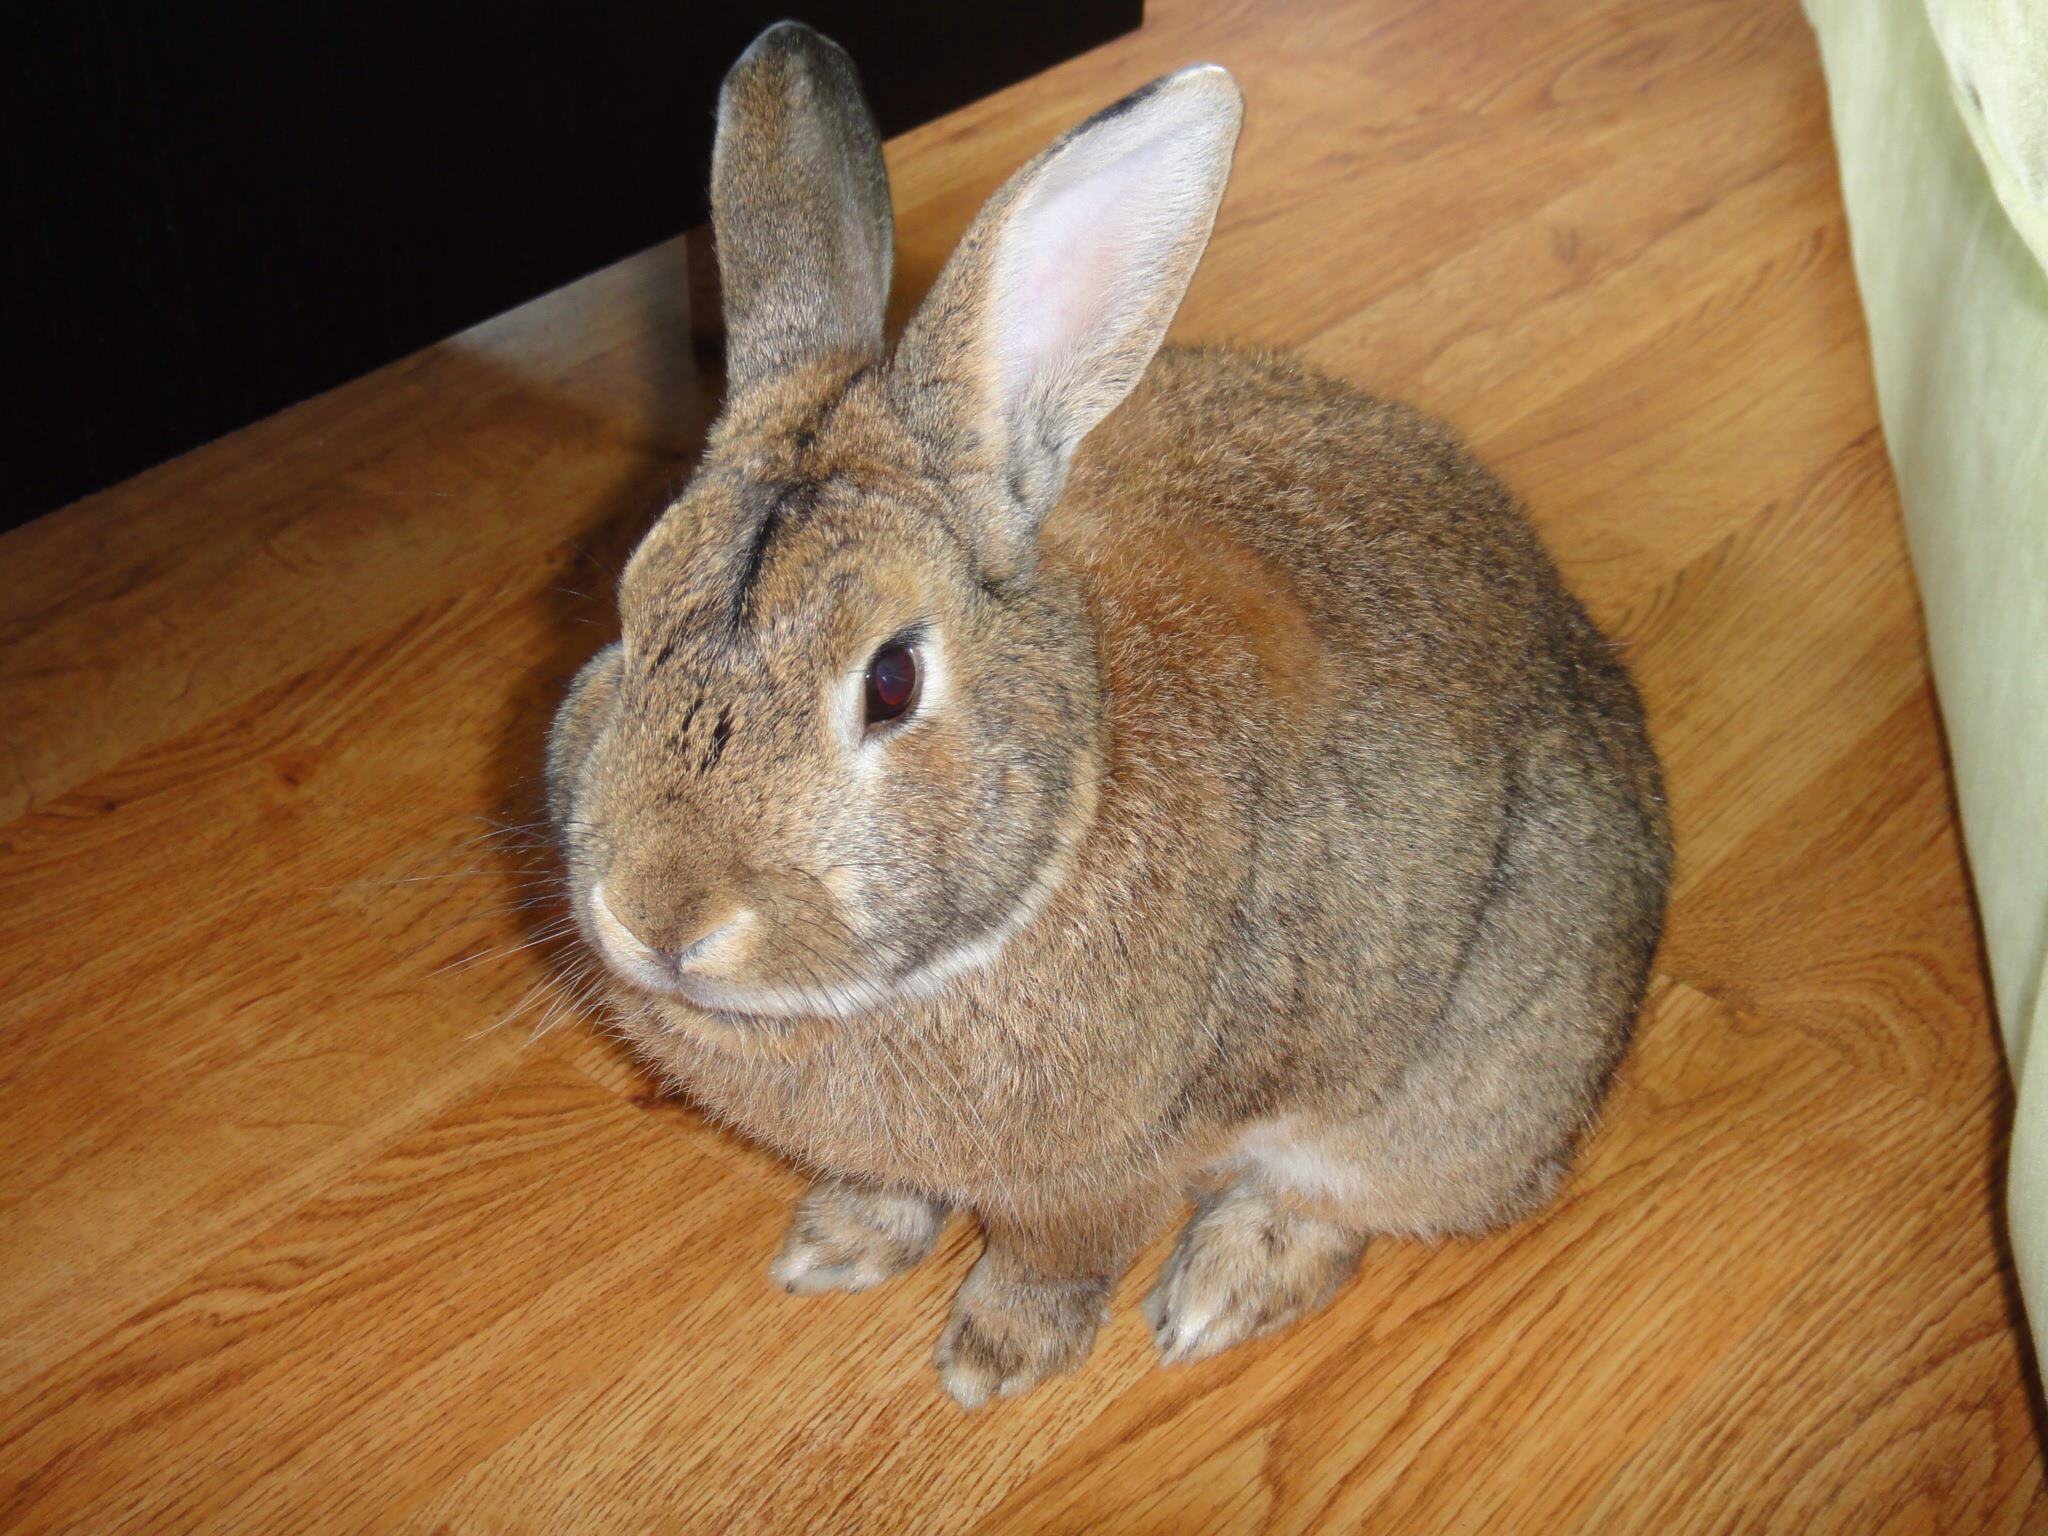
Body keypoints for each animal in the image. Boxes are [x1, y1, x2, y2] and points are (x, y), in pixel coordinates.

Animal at [544, 21, 1672, 1409]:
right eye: (626, 608)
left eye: (890, 681)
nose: (658, 919)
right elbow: (892, 1189)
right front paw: (836, 1245)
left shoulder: (1109, 1172)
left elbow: (1057, 1257)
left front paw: (990, 1362)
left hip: (1447, 1093)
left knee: (1348, 1204)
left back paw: (1218, 1290)